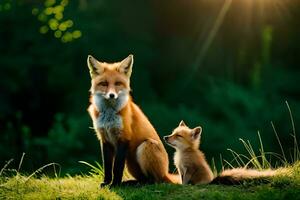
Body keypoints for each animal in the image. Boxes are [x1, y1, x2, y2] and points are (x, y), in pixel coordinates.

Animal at [87, 54, 180, 187]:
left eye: (118, 83)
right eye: (104, 84)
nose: (111, 95)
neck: (109, 117)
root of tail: (165, 173)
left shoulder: (124, 137)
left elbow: (117, 168)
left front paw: (115, 185)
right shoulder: (104, 139)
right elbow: (108, 167)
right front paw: (106, 182)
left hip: (145, 146)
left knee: (154, 181)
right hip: (130, 163)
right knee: (143, 178)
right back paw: (131, 182)